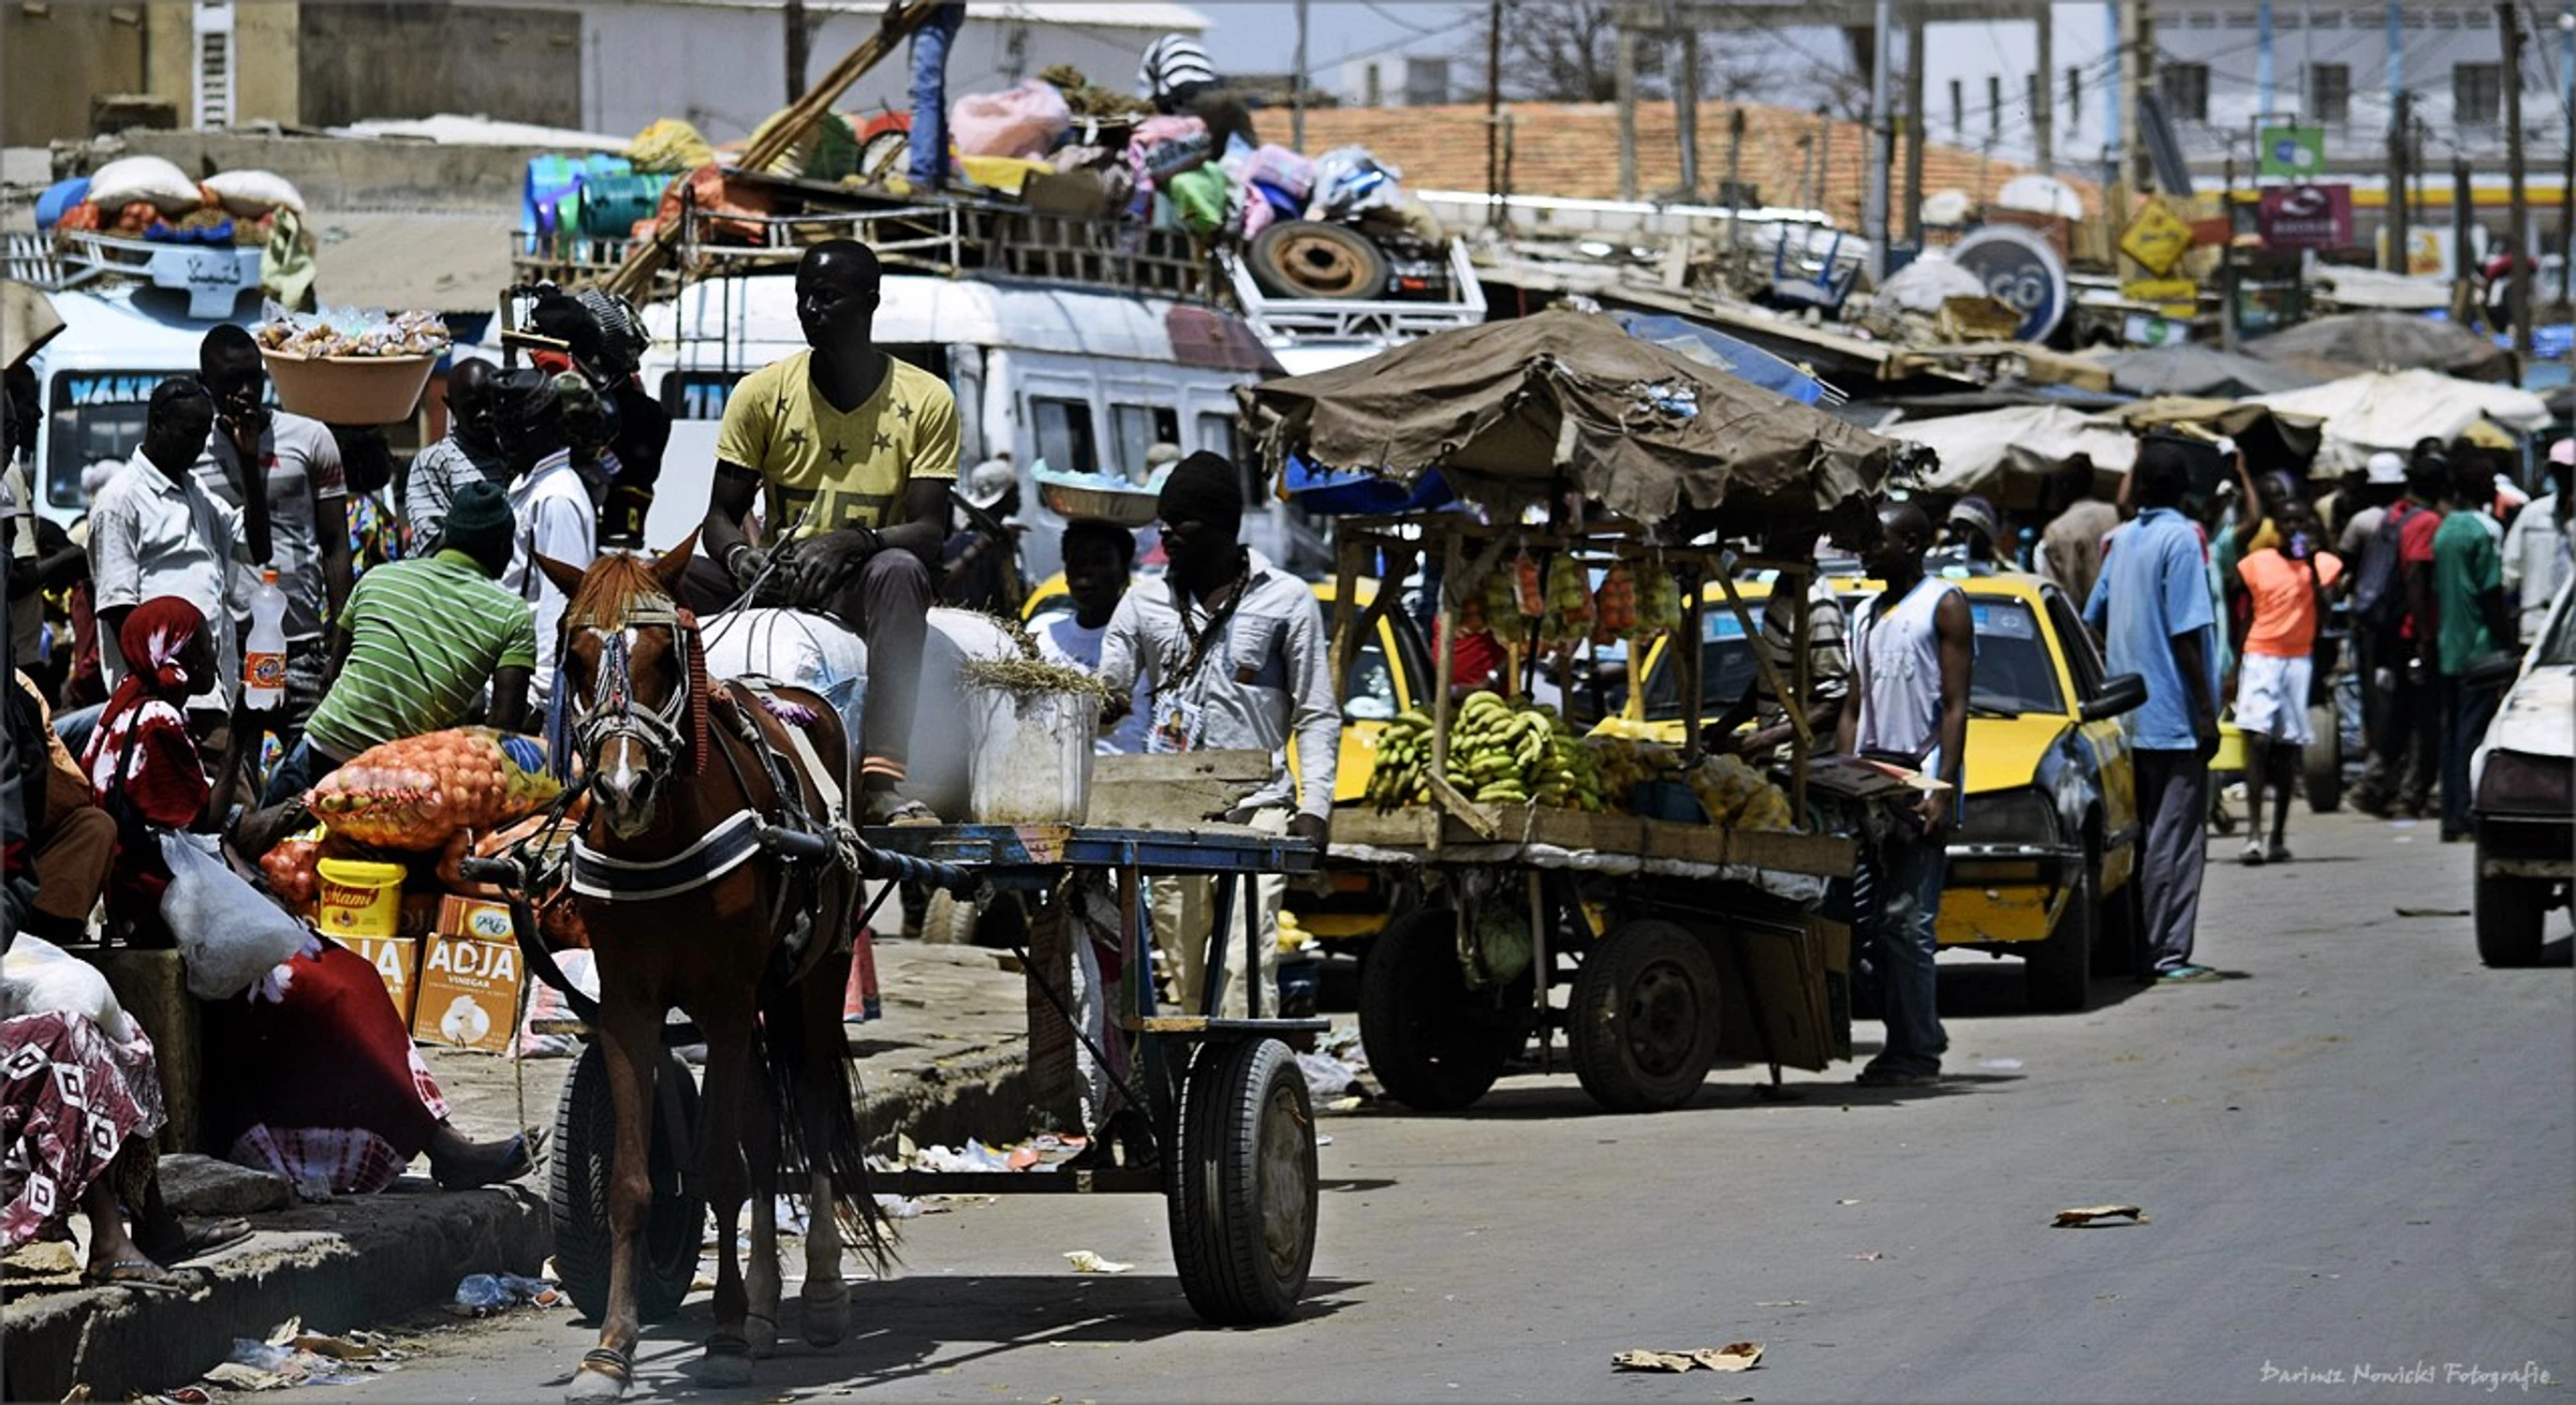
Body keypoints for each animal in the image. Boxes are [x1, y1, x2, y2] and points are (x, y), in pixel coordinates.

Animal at [533, 533, 886, 1392]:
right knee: (765, 1127)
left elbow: (721, 1167)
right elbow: (636, 1180)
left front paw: (723, 1338)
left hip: (816, 976)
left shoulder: (725, 998)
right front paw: (612, 1350)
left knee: (813, 1112)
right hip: (763, 996)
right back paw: (762, 1308)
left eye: (667, 656)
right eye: (576, 658)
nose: (621, 786)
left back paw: (816, 1296)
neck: (660, 838)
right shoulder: (629, 1002)